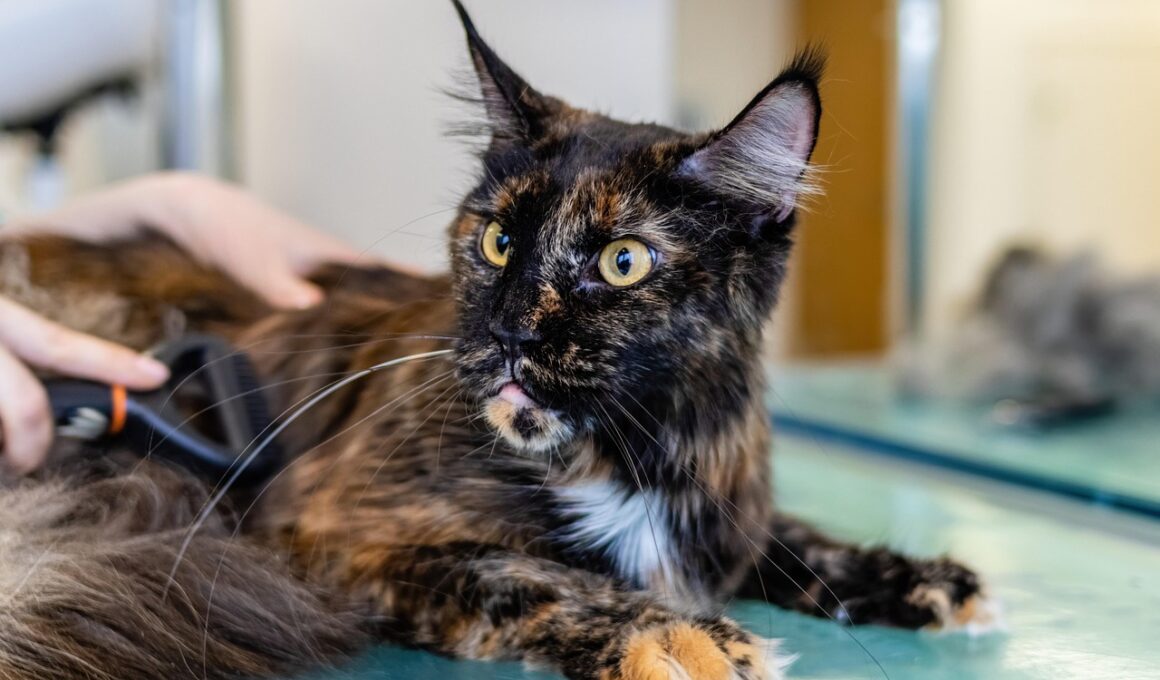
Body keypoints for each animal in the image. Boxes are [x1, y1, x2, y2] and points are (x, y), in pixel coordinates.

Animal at [0, 3, 991, 679]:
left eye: (623, 261)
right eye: (498, 242)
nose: (512, 331)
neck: (631, 457)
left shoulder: (724, 501)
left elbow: (787, 536)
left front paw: (915, 576)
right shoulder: (325, 528)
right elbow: (527, 571)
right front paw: (673, 631)